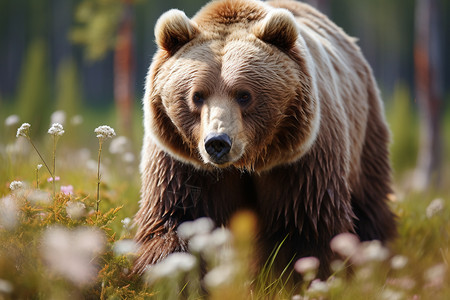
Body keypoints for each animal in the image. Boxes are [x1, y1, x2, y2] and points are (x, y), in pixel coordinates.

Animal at [134, 0, 398, 278]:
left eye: (244, 95)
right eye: (197, 95)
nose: (218, 142)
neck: (247, 162)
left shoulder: (301, 162)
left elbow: (308, 225)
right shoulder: (183, 164)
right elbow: (176, 219)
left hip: (365, 130)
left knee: (370, 203)